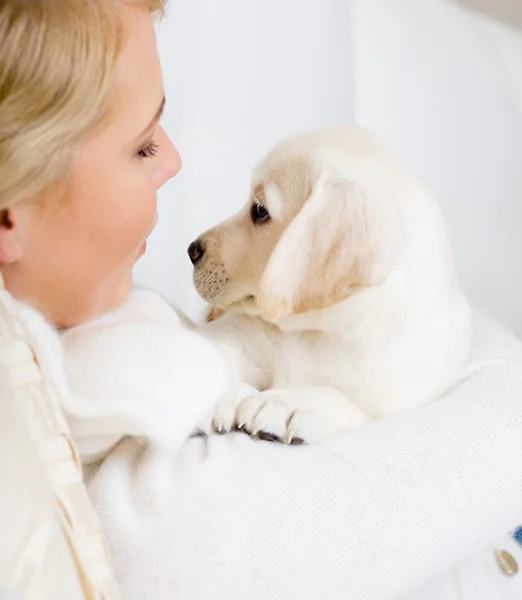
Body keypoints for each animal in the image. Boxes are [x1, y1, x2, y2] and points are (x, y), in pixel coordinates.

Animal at [188, 126, 472, 442]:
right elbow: (212, 351)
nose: (192, 250)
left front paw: (283, 403)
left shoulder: (387, 398)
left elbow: (340, 399)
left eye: (260, 210)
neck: (320, 330)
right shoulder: (235, 334)